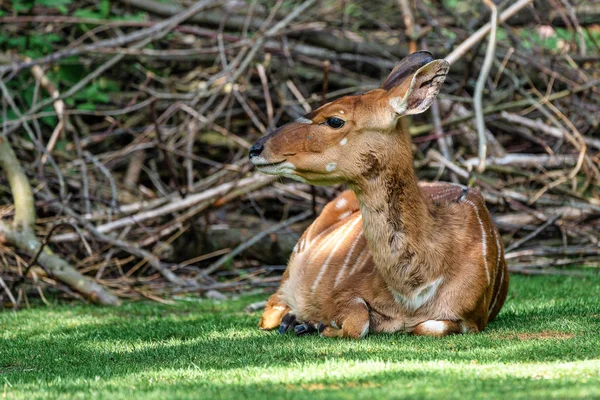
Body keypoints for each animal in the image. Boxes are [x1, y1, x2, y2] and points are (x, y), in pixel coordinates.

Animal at [248, 50, 506, 338]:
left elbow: (428, 326)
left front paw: (318, 325)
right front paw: (319, 324)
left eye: (335, 120)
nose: (255, 148)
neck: (413, 293)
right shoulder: (342, 293)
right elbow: (358, 322)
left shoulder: (471, 318)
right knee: (270, 309)